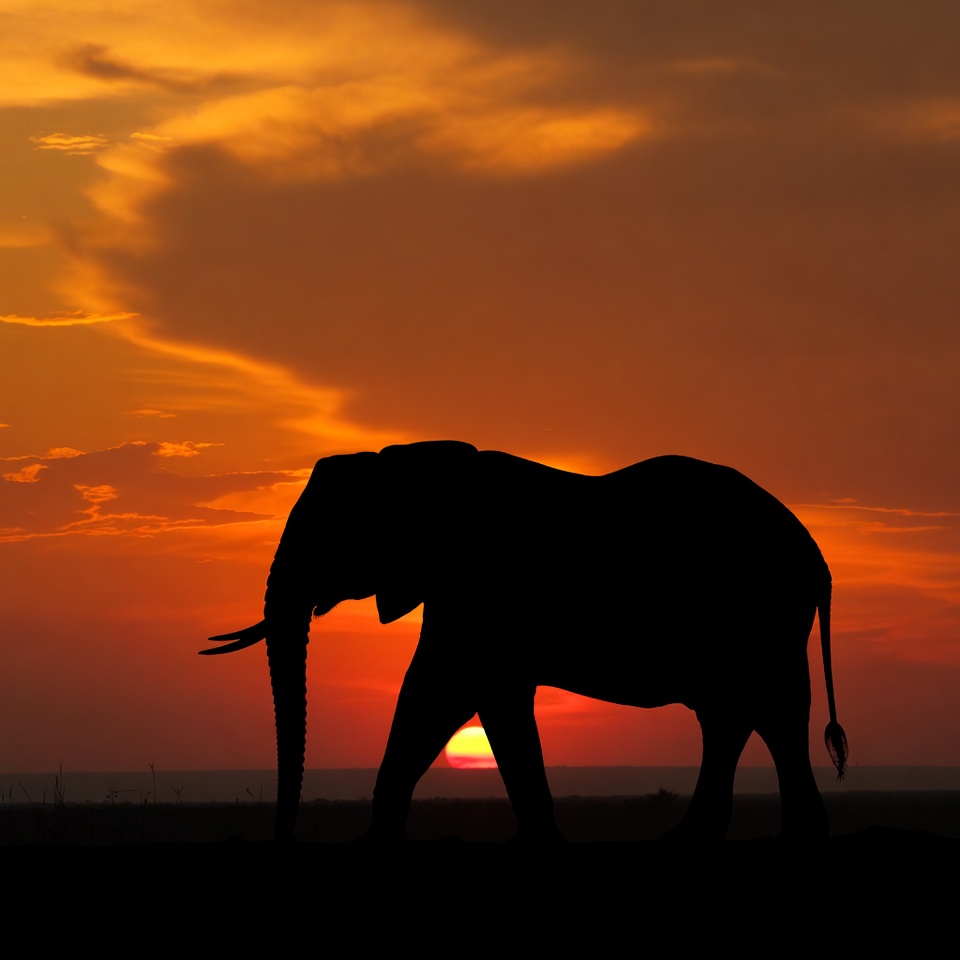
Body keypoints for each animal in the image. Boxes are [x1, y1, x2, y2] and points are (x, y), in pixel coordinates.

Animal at [203, 440, 847, 842]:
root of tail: (816, 556)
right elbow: (464, 699)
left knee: (770, 710)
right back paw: (692, 838)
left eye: (332, 533)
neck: (406, 461)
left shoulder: (481, 588)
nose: (284, 838)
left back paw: (788, 838)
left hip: (761, 613)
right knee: (733, 715)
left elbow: (444, 693)